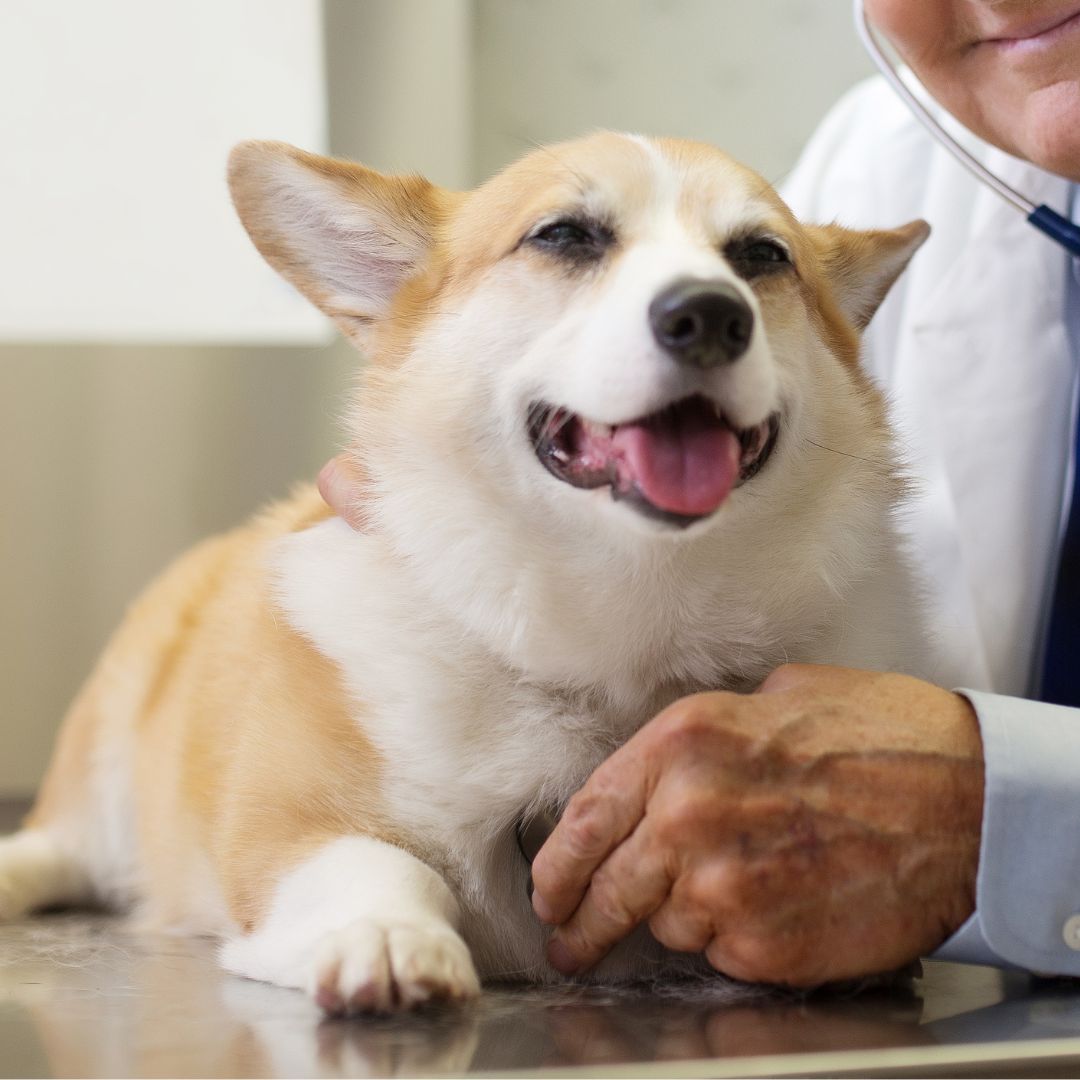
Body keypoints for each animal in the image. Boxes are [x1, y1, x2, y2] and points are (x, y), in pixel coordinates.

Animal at [0, 132, 928, 1010]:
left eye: (762, 255)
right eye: (564, 235)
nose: (709, 314)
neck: (625, 633)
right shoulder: (284, 832)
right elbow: (383, 865)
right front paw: (384, 939)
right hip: (103, 762)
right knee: (56, 844)